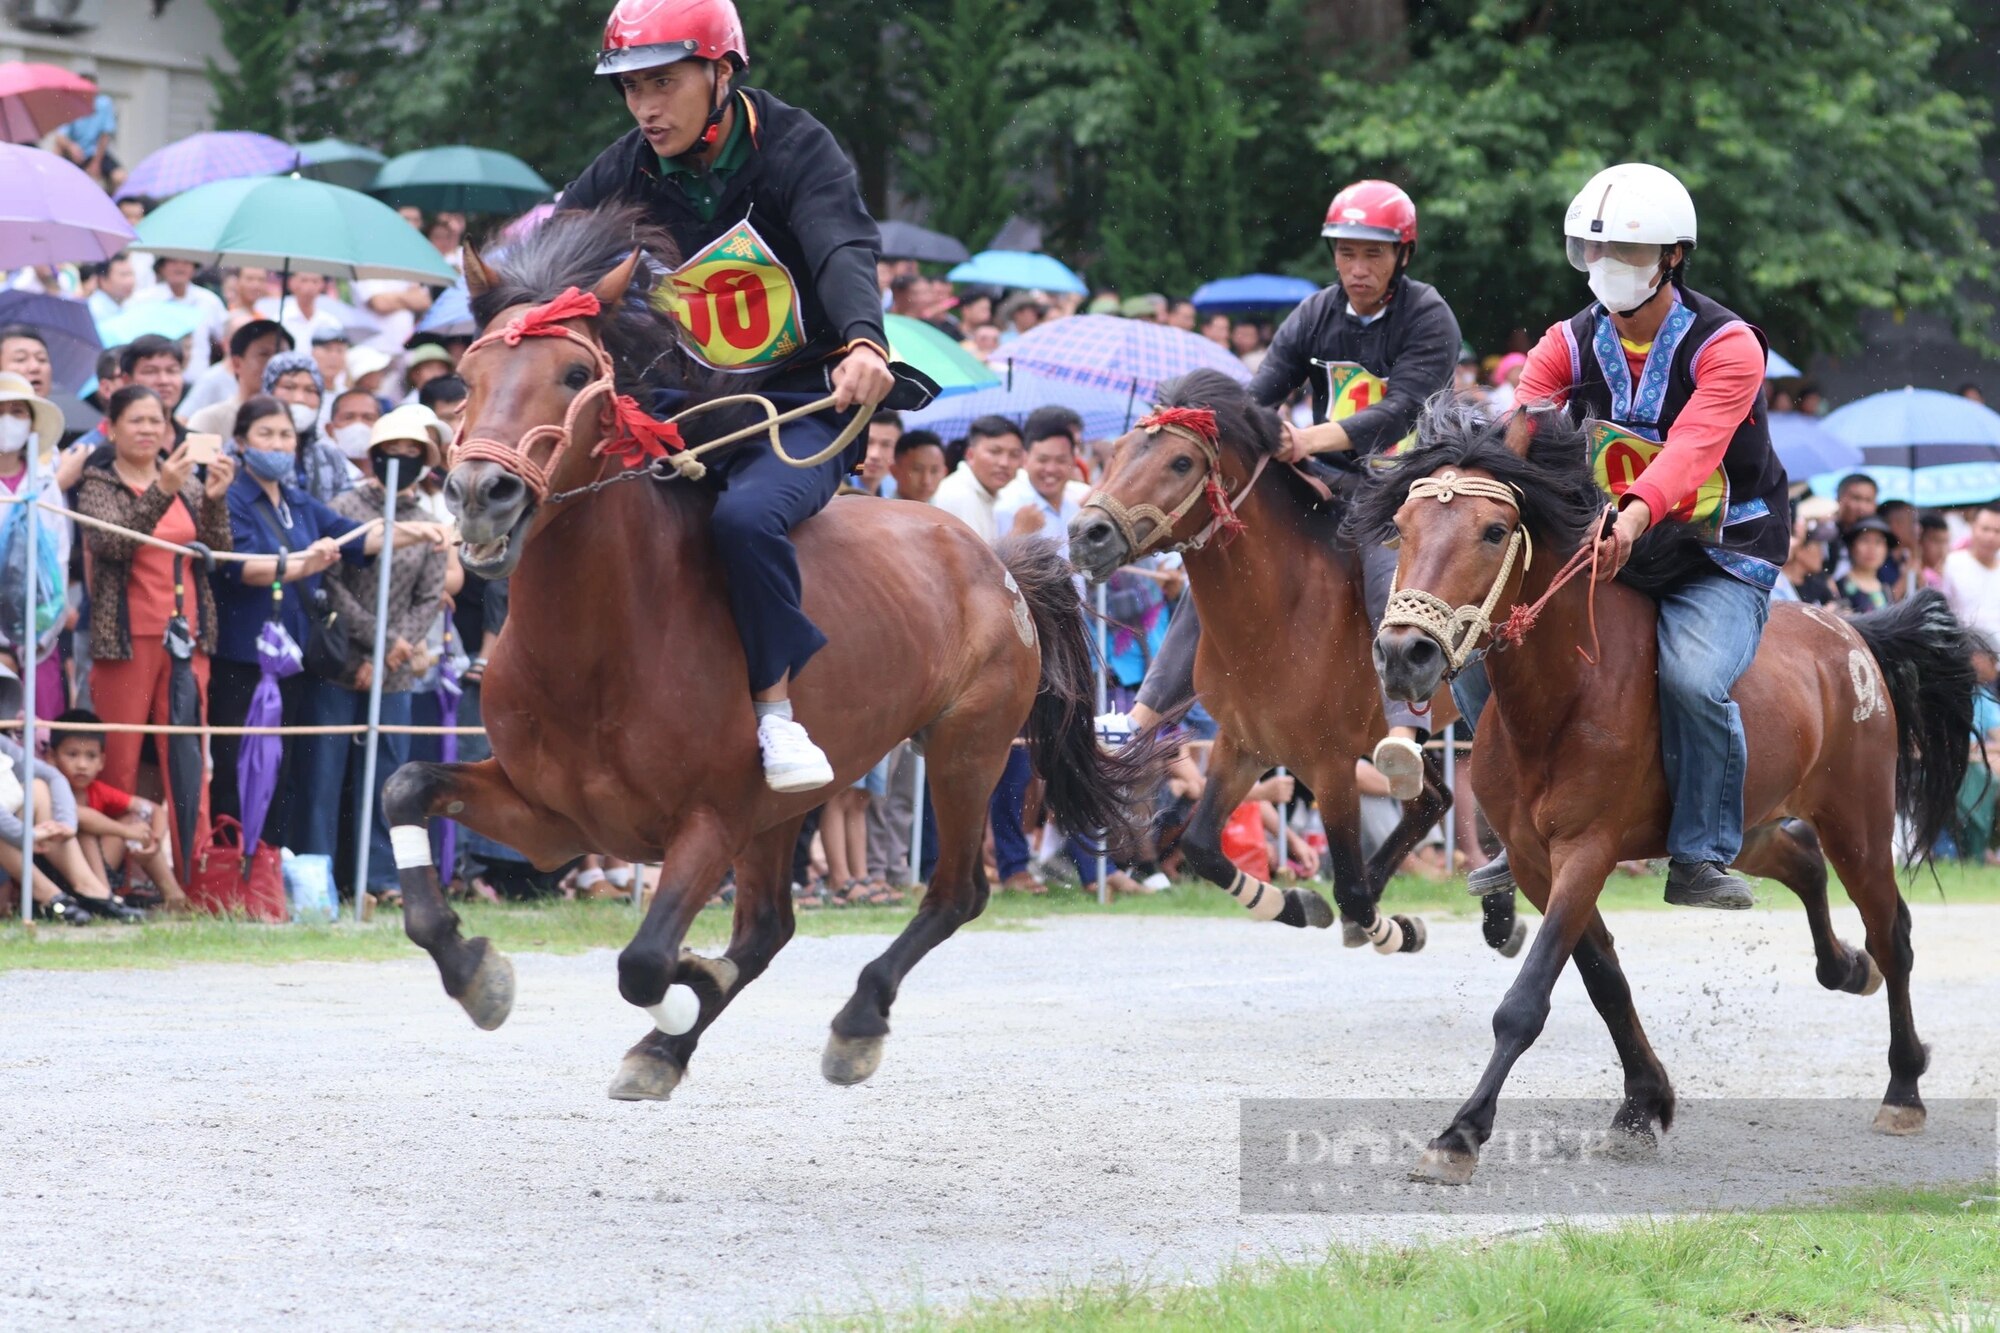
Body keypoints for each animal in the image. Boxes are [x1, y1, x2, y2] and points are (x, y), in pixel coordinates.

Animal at [378, 208, 1160, 1096]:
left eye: (575, 372)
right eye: (468, 373)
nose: (481, 492)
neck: (601, 650)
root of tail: (995, 560)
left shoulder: (711, 820)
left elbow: (644, 963)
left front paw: (684, 982)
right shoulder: (548, 819)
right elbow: (406, 788)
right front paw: (476, 970)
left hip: (969, 744)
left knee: (954, 893)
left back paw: (849, 1021)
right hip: (798, 808)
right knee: (769, 926)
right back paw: (674, 1040)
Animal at [1072, 366, 1520, 956]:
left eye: (1181, 462)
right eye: (1119, 450)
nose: (1086, 535)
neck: (1279, 614)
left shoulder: (1328, 765)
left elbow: (1350, 888)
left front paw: (1394, 930)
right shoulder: (1244, 745)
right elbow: (1201, 847)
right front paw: (1296, 903)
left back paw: (1499, 914)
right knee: (1437, 800)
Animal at [1352, 396, 1976, 1184]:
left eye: (1494, 531)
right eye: (1401, 528)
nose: (1404, 652)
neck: (1567, 689)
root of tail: (1851, 634)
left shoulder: (1586, 849)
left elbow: (1526, 1000)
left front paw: (1460, 1132)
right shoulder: (1533, 860)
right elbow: (1603, 981)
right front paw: (1642, 1104)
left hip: (1858, 818)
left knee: (1892, 932)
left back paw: (1903, 1085)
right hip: (1750, 823)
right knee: (1803, 864)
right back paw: (1842, 967)